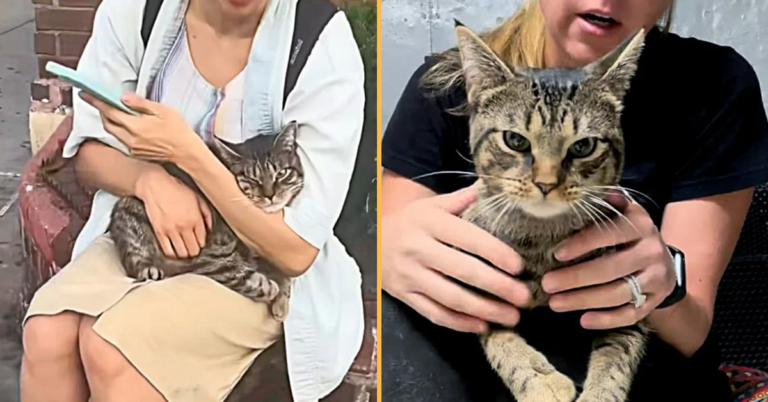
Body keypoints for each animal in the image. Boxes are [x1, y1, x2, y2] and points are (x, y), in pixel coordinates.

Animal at [109, 122, 302, 324]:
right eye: (252, 179)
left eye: (281, 173)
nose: (270, 195)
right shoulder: (211, 253)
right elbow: (241, 274)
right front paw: (270, 288)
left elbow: (284, 274)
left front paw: (281, 302)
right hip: (130, 212)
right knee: (135, 260)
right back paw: (150, 269)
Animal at [420, 22, 648, 402]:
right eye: (516, 140)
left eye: (584, 146)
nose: (545, 183)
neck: (541, 242)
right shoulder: (470, 286)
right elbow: (496, 334)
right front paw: (538, 379)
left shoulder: (626, 308)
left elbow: (617, 357)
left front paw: (599, 393)